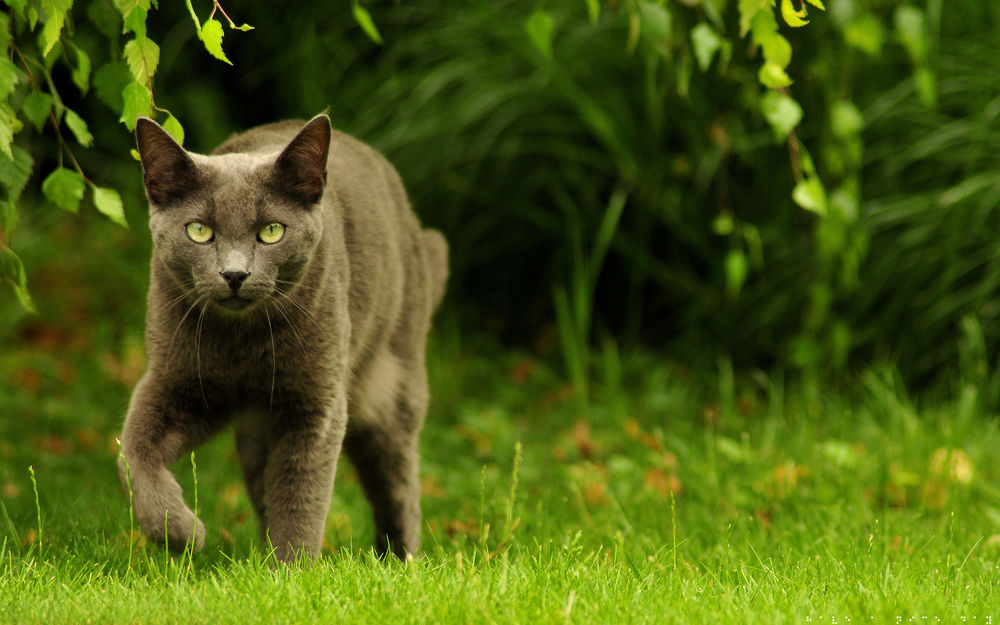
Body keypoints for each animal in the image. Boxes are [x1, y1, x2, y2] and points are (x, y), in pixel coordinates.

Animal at [114, 116, 450, 560]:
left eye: (272, 231)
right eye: (199, 231)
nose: (234, 274)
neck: (243, 342)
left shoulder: (316, 402)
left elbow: (300, 493)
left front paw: (292, 570)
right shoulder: (176, 379)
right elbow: (131, 450)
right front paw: (180, 532)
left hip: (392, 388)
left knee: (398, 485)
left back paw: (401, 560)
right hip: (256, 430)